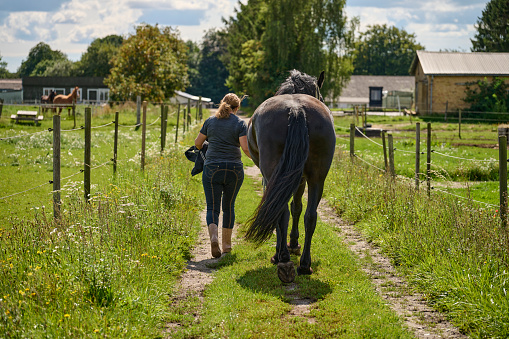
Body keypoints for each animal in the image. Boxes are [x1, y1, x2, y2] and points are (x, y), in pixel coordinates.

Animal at [245, 69, 336, 284]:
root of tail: (296, 109)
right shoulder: (299, 178)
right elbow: (297, 208)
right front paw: (293, 244)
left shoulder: (272, 180)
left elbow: (285, 210)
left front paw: (284, 249)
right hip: (317, 178)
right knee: (310, 216)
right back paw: (304, 265)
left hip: (274, 175)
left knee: (280, 211)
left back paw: (284, 260)